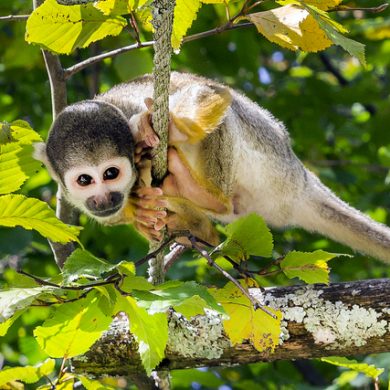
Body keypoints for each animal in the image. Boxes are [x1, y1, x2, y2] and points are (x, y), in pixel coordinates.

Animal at [34, 72, 390, 264]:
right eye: (85, 180)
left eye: (110, 173)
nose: (104, 199)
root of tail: (301, 180)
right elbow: (116, 215)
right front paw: (141, 214)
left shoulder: (135, 107)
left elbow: (208, 92)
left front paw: (170, 127)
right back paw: (196, 225)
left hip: (268, 155)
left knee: (223, 112)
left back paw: (203, 195)